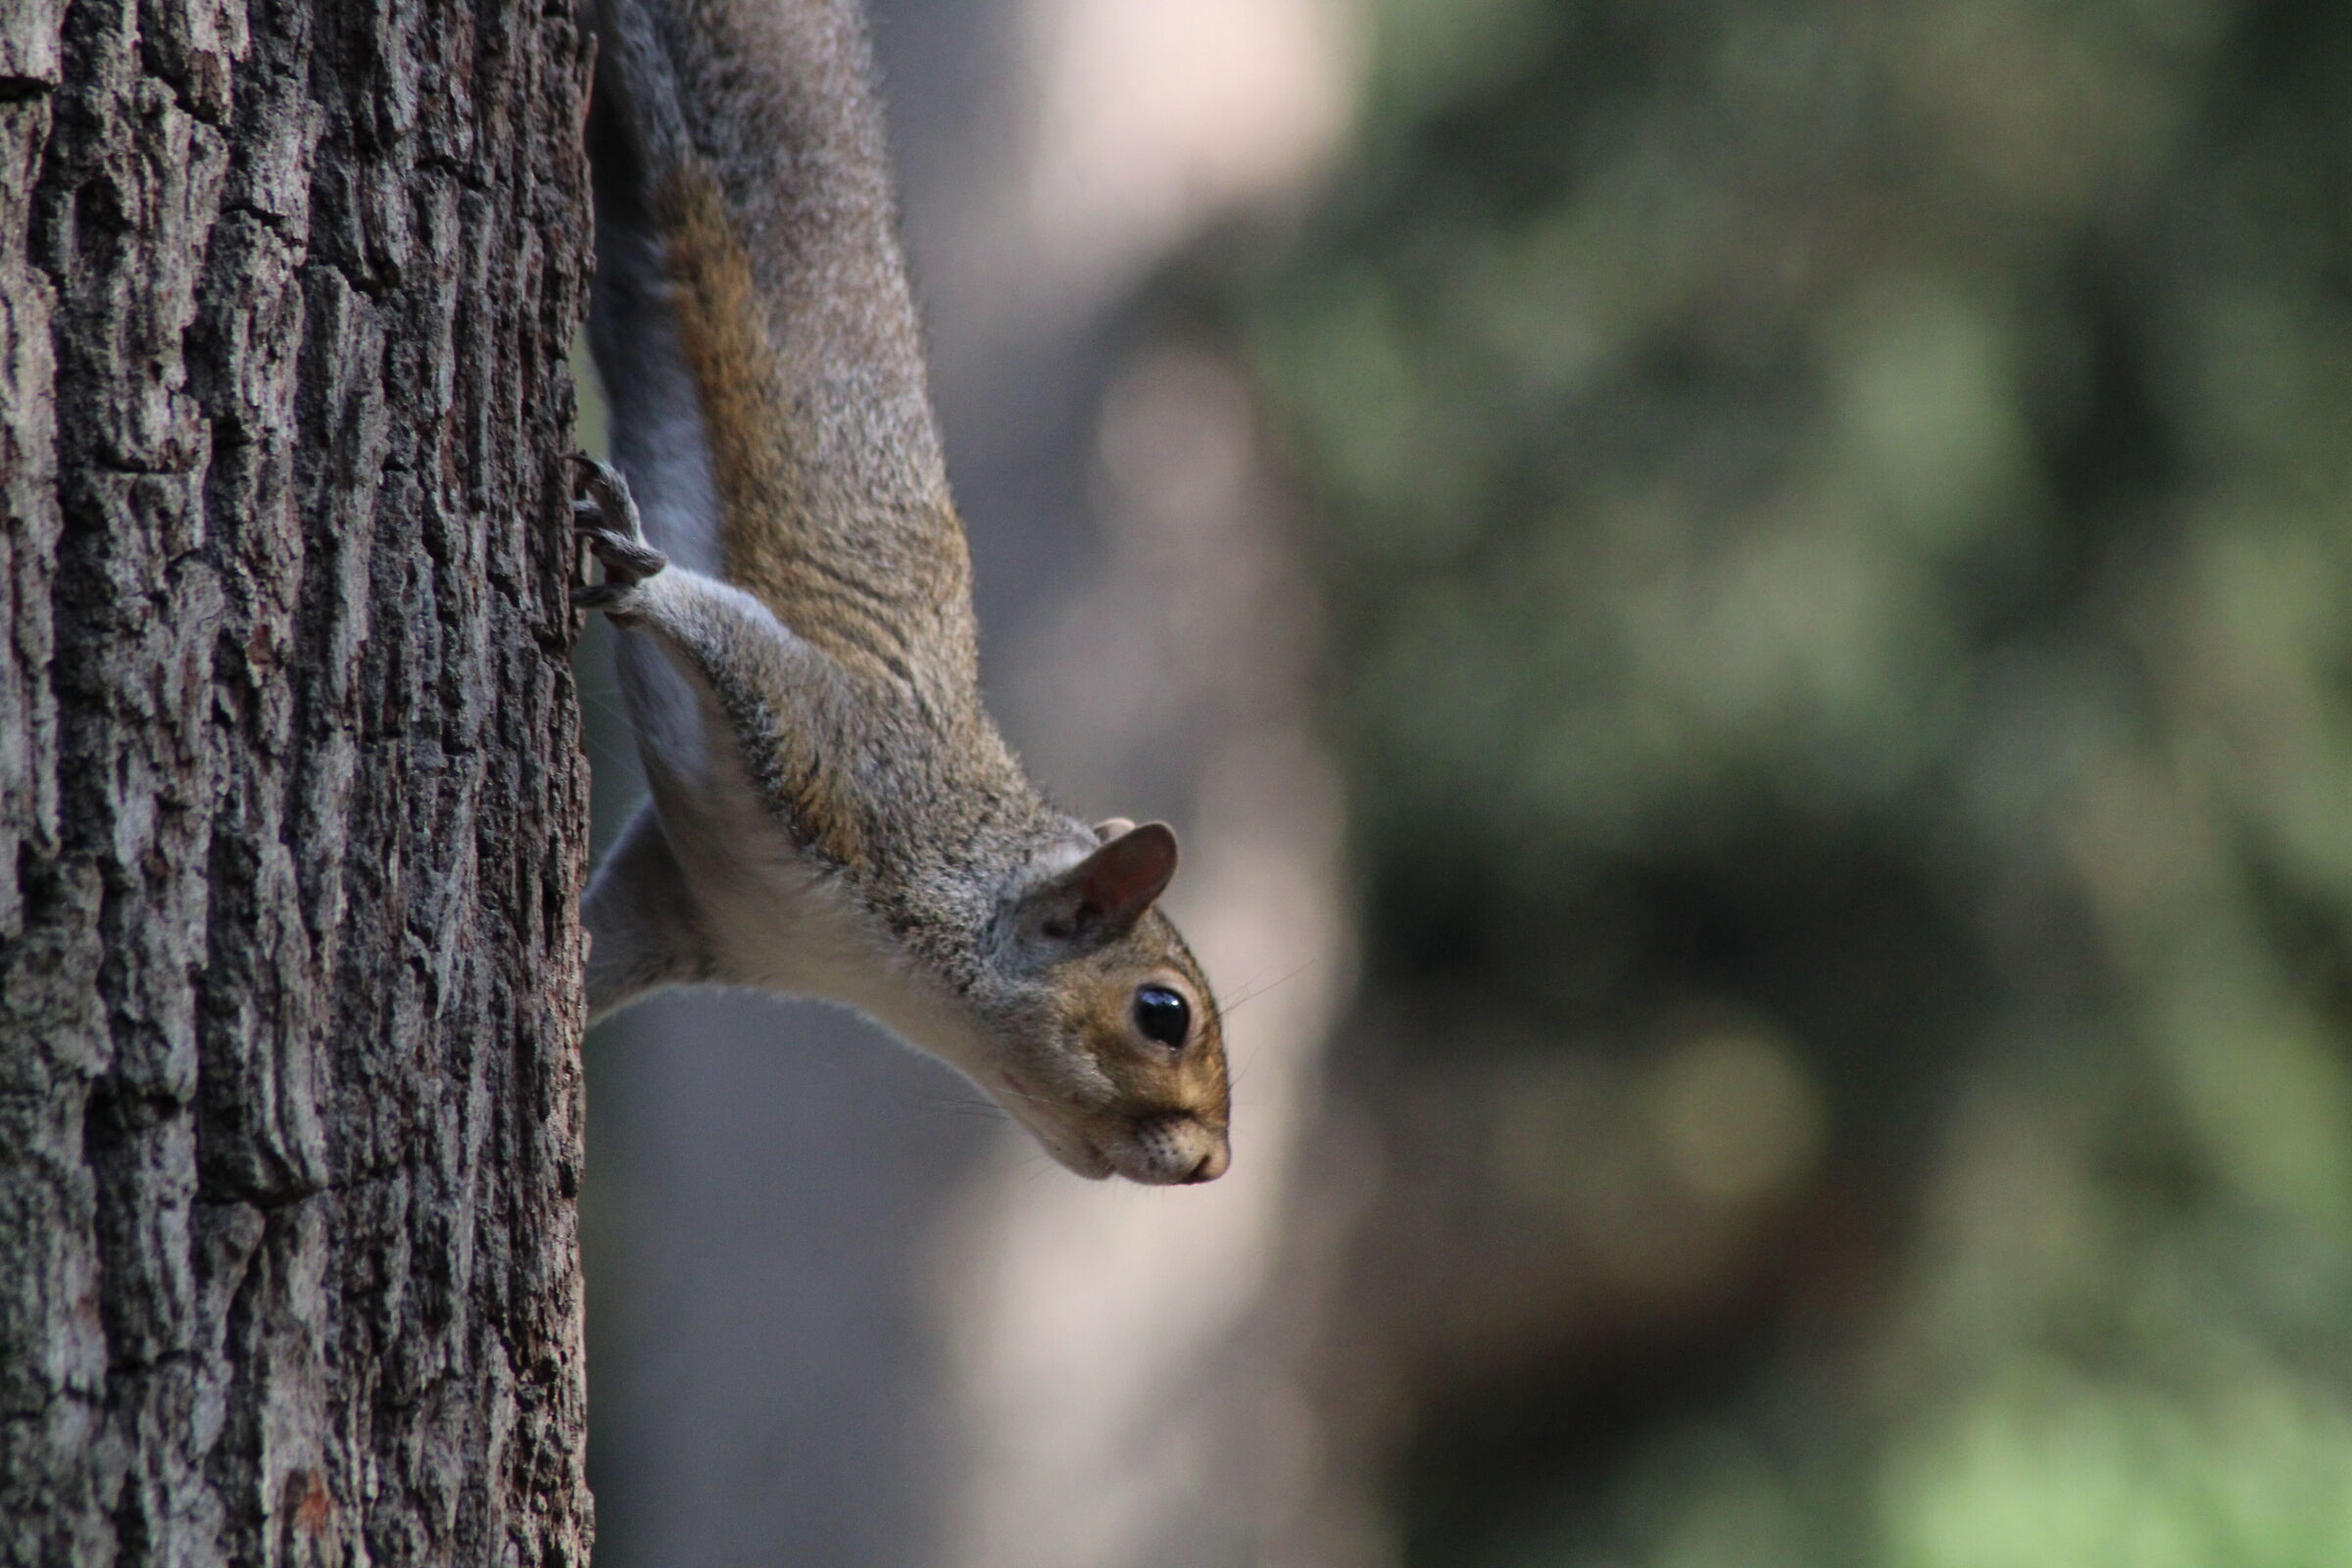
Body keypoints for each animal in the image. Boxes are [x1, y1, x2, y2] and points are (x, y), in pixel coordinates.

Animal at [572, 0, 1231, 1185]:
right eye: (1164, 1014)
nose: (1213, 1165)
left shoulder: (690, 902)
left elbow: (611, 942)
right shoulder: (844, 767)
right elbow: (745, 646)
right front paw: (642, 576)